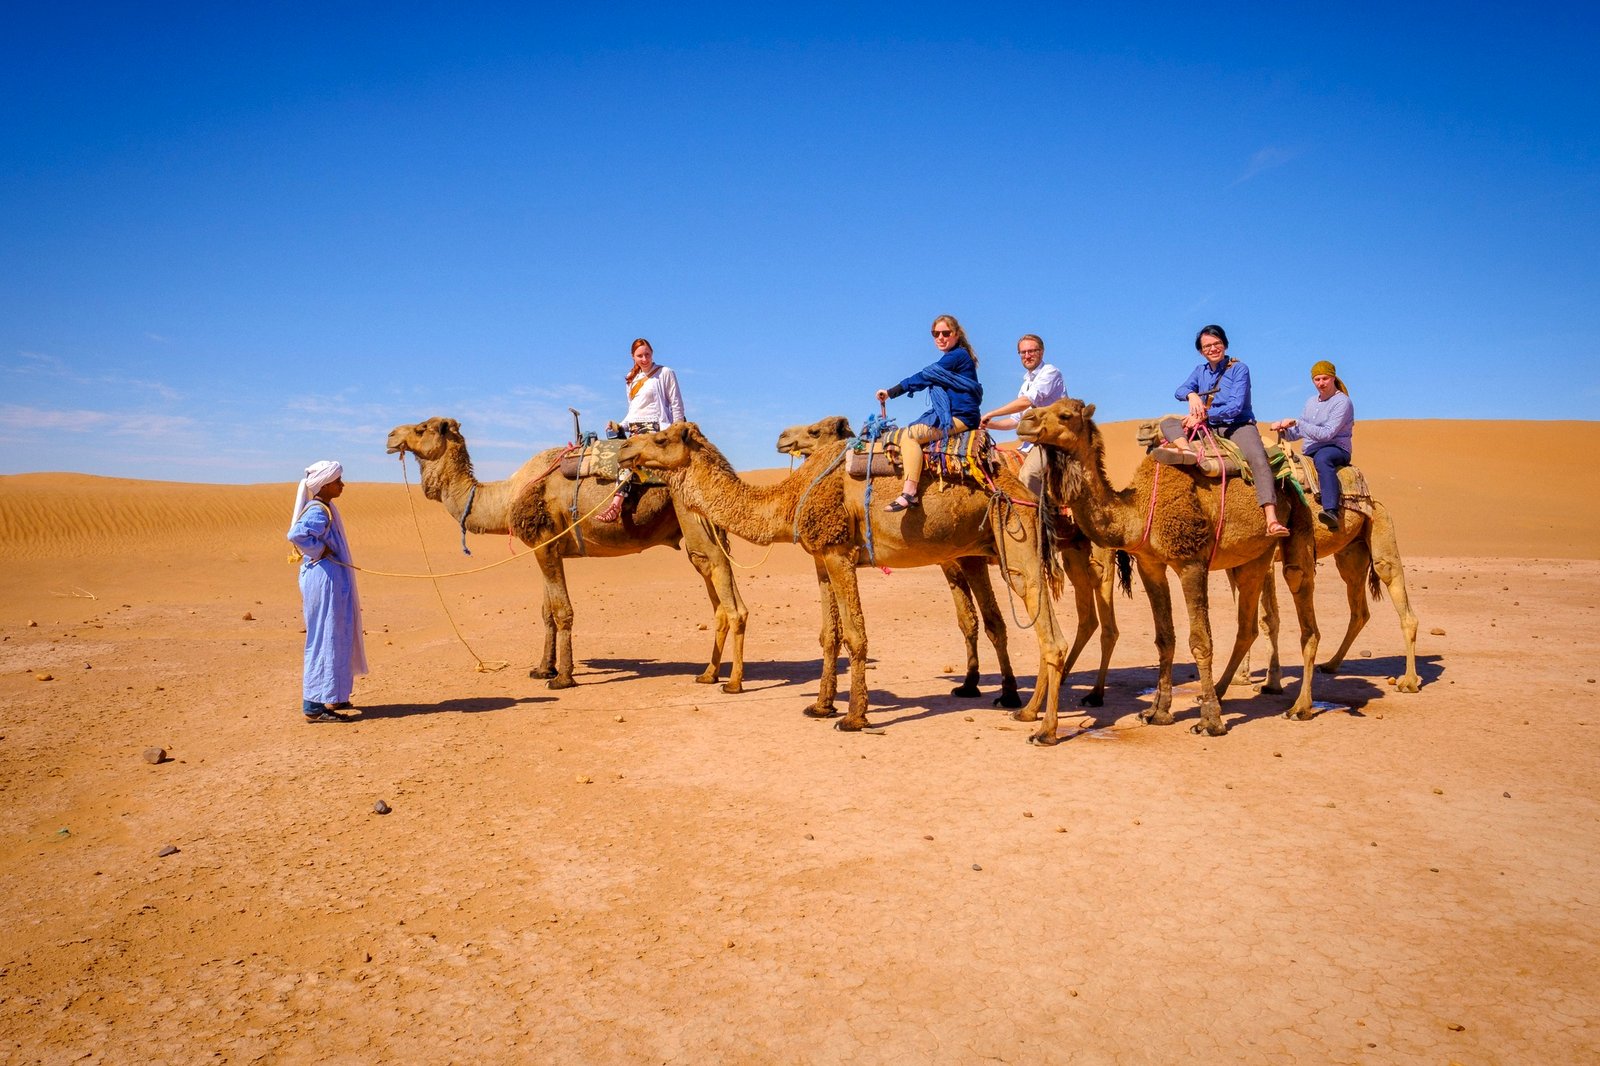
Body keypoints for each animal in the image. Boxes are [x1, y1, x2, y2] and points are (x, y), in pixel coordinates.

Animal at [385, 417, 747, 692]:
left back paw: (731, 682)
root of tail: (719, 462)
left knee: (720, 579)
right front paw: (542, 668)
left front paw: (563, 677)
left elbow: (562, 612)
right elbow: (546, 612)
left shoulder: (544, 542)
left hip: (694, 520)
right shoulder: (548, 548)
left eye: (421, 428)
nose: (390, 436)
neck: (508, 497)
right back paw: (709, 674)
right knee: (717, 590)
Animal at [620, 422, 1071, 737]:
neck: (790, 497)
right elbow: (829, 635)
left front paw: (854, 716)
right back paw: (1024, 710)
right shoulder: (821, 558)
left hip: (1014, 534)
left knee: (1048, 631)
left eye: (661, 439)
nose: (624, 449)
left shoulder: (839, 552)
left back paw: (1044, 728)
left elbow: (855, 634)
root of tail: (1021, 485)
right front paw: (821, 706)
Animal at [776, 416, 1124, 709]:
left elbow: (992, 621)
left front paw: (1005, 692)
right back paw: (1063, 679)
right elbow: (970, 621)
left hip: (1096, 550)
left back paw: (1093, 694)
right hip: (1074, 551)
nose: (782, 438)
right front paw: (971, 684)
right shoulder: (954, 561)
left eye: (814, 431)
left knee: (1105, 620)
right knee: (1087, 618)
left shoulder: (971, 557)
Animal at [1018, 397, 1321, 739]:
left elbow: (1200, 641)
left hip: (1296, 526)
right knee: (1247, 627)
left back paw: (1299, 708)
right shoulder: (1150, 564)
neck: (1136, 513)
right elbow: (1165, 638)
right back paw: (1218, 691)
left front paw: (1210, 722)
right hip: (1251, 557)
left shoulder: (1191, 562)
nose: (1026, 421)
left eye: (1065, 415)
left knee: (1302, 603)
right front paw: (1158, 712)